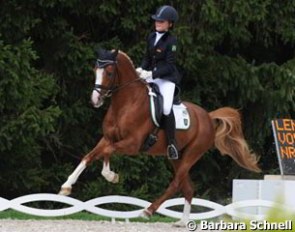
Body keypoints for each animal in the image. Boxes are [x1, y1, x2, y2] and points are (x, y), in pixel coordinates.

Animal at [60, 49, 262, 225]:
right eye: (95, 70)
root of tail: (208, 116)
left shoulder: (132, 145)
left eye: (109, 72)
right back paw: (182, 222)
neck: (125, 104)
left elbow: (106, 152)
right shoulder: (108, 138)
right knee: (188, 189)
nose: (95, 100)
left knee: (175, 184)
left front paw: (110, 176)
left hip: (192, 154)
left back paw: (148, 211)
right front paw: (67, 186)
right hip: (176, 157)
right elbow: (91, 156)